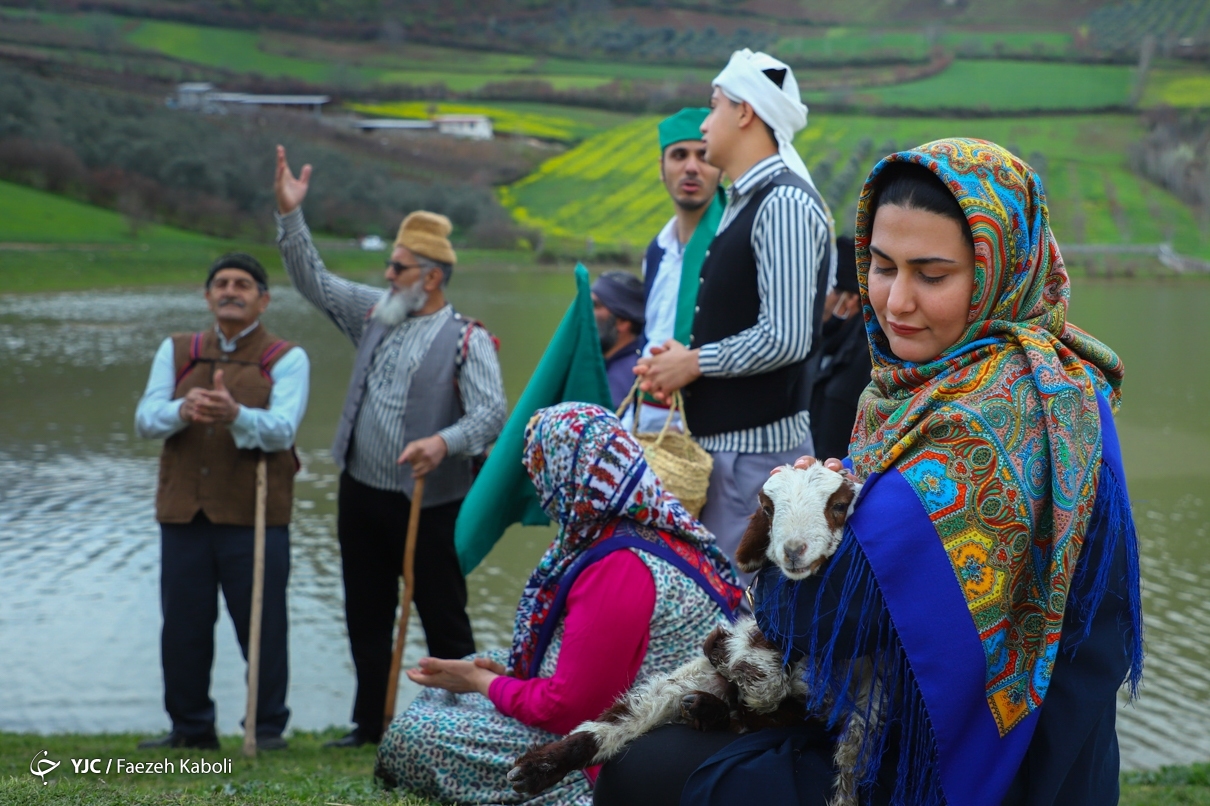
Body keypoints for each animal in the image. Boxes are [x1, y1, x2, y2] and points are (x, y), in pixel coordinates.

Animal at [505, 455, 866, 798]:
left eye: (838, 506)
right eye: (768, 509)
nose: (793, 551)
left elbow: (765, 690)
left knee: (750, 719)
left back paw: (707, 709)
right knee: (621, 719)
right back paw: (532, 771)